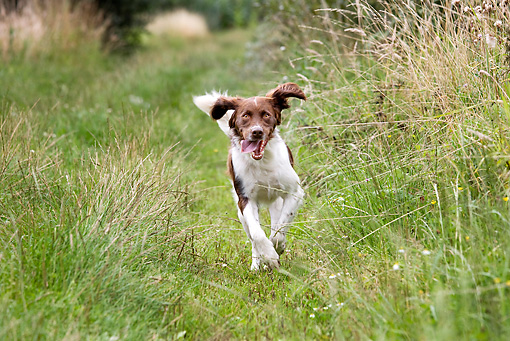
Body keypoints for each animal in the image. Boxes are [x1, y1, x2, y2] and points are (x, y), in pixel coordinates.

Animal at [193, 82, 304, 268]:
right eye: (245, 115)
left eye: (266, 115)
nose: (256, 132)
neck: (262, 162)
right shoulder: (245, 199)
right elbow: (257, 234)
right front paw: (269, 256)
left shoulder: (294, 192)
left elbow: (280, 228)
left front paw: (277, 247)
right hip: (241, 212)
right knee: (253, 238)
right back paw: (256, 265)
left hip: (276, 202)